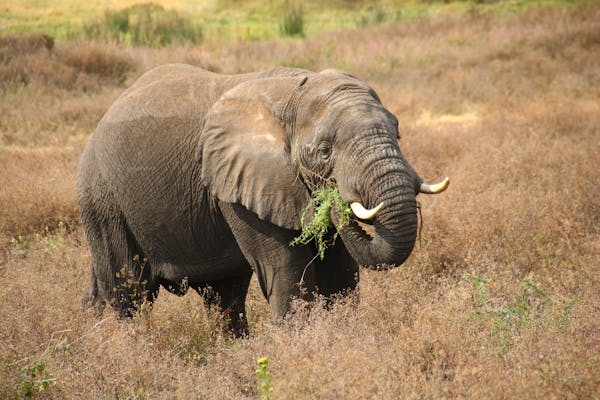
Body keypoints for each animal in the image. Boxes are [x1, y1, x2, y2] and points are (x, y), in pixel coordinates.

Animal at [76, 65, 450, 334]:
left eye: (398, 133)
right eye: (324, 152)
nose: (335, 198)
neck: (294, 92)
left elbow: (341, 277)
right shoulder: (239, 186)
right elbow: (286, 273)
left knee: (222, 297)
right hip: (102, 199)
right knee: (129, 293)